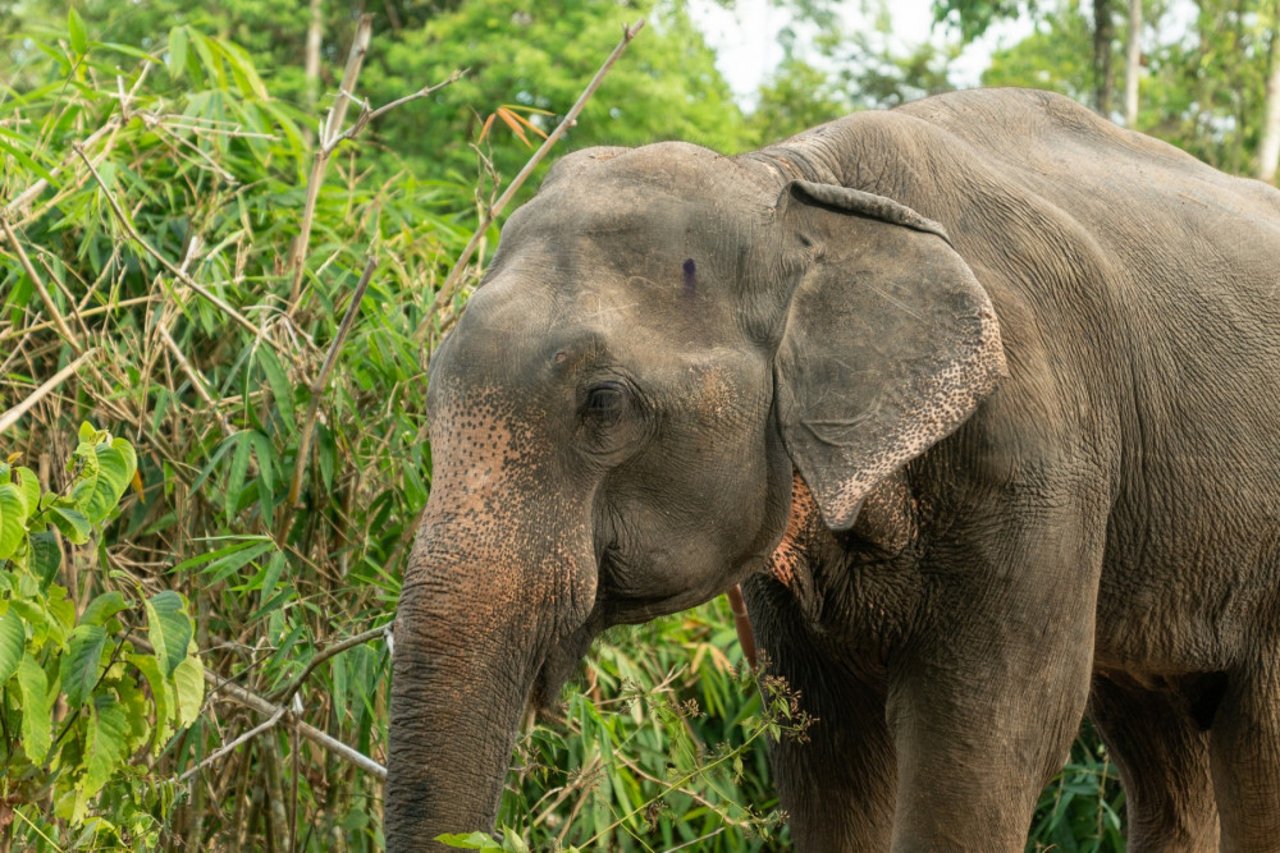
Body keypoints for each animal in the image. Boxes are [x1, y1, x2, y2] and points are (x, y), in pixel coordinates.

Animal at [384, 89, 1280, 845]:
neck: (791, 186)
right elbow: (825, 742)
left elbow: (997, 731)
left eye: (604, 404)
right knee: (1163, 747)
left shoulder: (1043, 446)